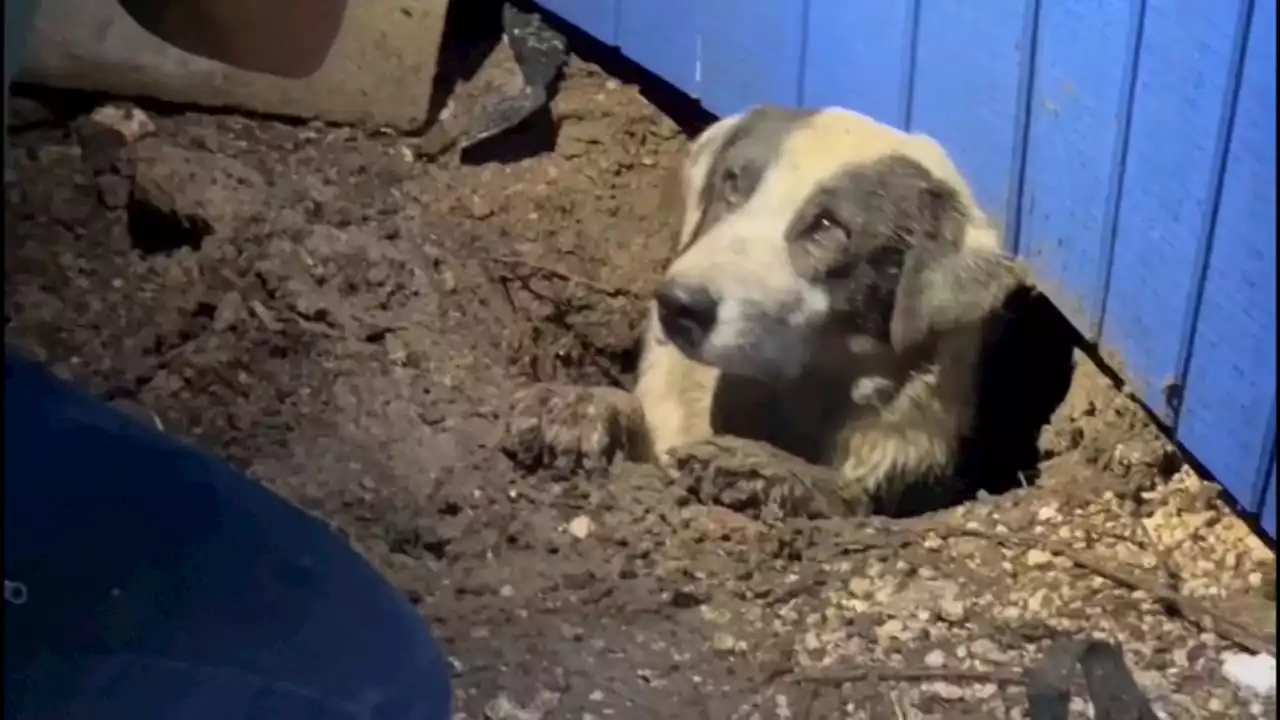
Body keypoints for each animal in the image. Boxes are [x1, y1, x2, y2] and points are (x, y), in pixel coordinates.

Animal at [504, 103, 1024, 512]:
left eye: (828, 226)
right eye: (733, 182)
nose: (678, 304)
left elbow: (845, 493)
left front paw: (761, 467)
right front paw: (578, 407)